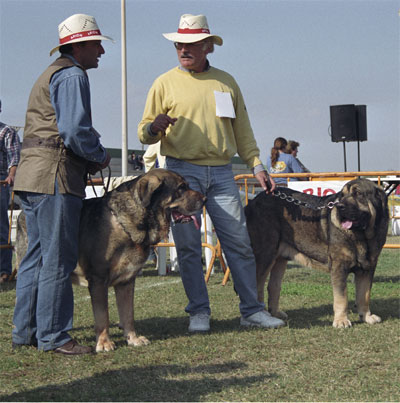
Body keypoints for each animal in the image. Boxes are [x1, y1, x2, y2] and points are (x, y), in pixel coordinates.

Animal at [15, 169, 205, 352]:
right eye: (181, 188)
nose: (205, 199)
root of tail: (21, 213)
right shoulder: (98, 280)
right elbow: (102, 316)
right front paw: (104, 343)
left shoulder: (127, 281)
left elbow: (128, 314)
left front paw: (133, 339)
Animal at [245, 179, 390, 328]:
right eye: (342, 196)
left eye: (359, 193)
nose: (340, 206)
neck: (362, 237)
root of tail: (253, 201)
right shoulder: (339, 267)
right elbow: (342, 297)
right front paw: (341, 321)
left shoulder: (367, 268)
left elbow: (364, 295)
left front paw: (367, 317)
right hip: (265, 254)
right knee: (257, 285)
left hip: (279, 259)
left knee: (273, 286)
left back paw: (276, 314)